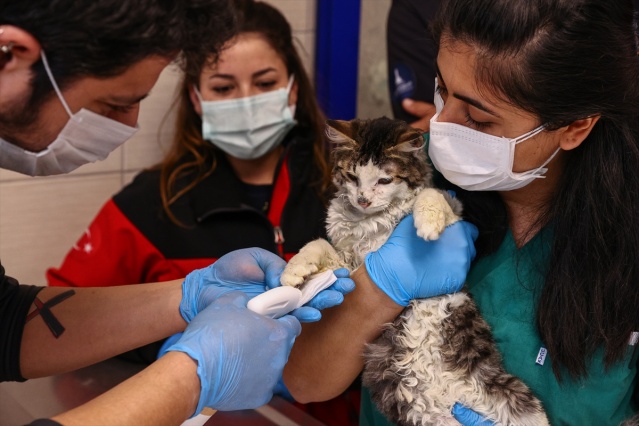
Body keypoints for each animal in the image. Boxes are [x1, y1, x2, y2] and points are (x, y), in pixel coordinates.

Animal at [282, 117, 552, 426]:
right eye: (351, 176)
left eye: (384, 180)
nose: (363, 200)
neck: (370, 222)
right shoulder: (351, 264)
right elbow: (317, 245)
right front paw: (294, 270)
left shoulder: (455, 211)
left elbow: (430, 193)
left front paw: (427, 225)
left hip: (521, 404)